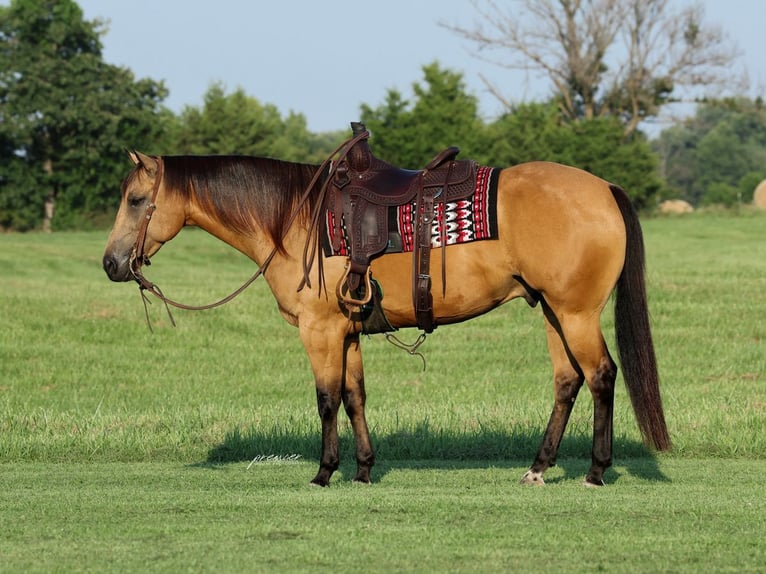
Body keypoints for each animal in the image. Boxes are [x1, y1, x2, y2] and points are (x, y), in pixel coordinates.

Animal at [102, 147, 671, 487]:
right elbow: (355, 397)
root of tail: (604, 189)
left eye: (136, 200)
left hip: (576, 313)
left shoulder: (320, 331)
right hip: (553, 311)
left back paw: (596, 470)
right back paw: (537, 468)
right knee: (566, 382)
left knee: (601, 376)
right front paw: (363, 470)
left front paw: (324, 472)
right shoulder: (347, 332)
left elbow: (326, 399)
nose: (110, 263)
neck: (294, 221)